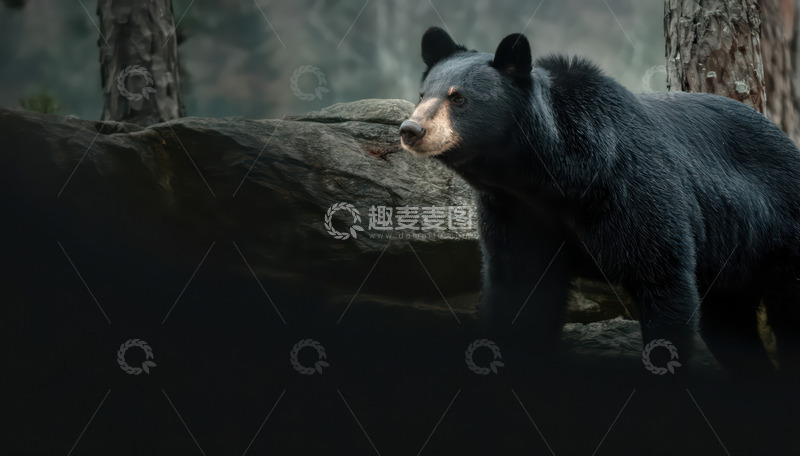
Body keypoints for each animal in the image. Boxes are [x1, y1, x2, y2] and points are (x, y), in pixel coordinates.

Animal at [400, 27, 800, 379]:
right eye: (422, 94)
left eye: (458, 98)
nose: (411, 130)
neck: (546, 179)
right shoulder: (515, 214)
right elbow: (520, 288)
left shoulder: (630, 189)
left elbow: (662, 277)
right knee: (729, 324)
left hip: (778, 232)